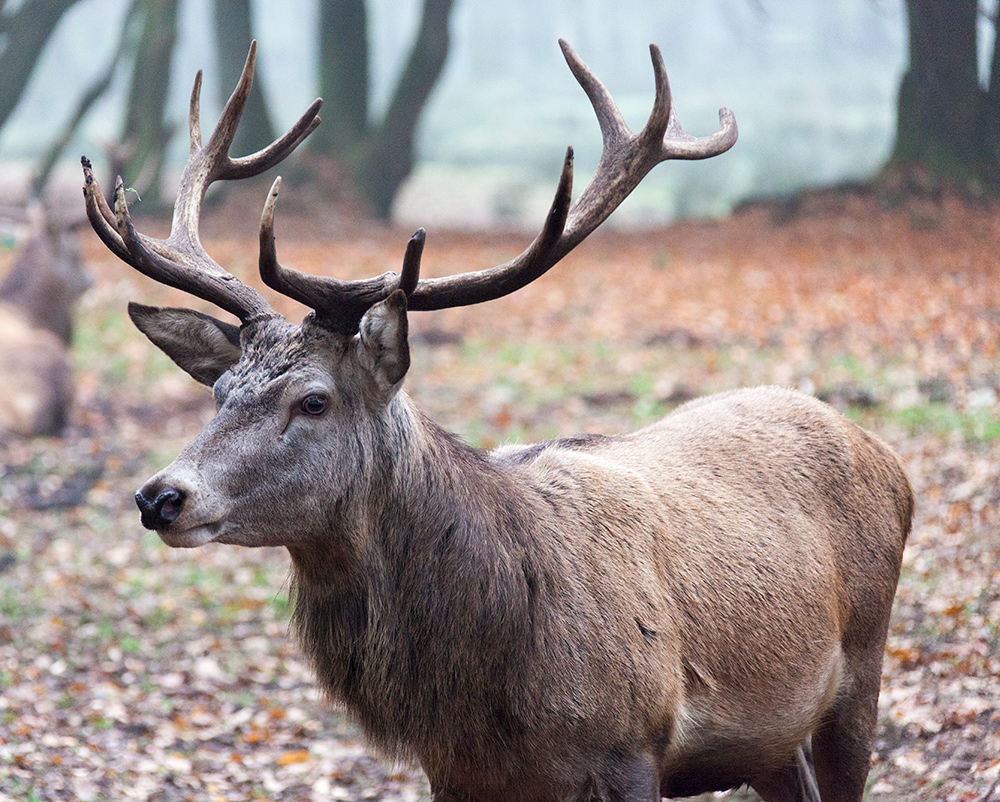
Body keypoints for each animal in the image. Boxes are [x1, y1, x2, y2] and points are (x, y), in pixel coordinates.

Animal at [84, 42, 916, 800]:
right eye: (220, 390)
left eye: (313, 400)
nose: (161, 495)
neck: (491, 698)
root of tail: (887, 458)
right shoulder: (458, 773)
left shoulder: (633, 744)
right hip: (772, 740)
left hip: (863, 664)